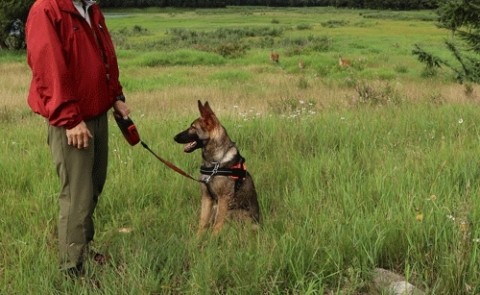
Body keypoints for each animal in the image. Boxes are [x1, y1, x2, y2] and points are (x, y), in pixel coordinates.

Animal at [174, 102, 260, 236]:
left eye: (193, 127)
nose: (174, 137)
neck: (214, 163)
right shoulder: (206, 197)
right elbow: (203, 221)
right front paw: (197, 238)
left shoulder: (223, 198)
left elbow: (218, 224)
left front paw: (212, 239)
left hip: (232, 211)